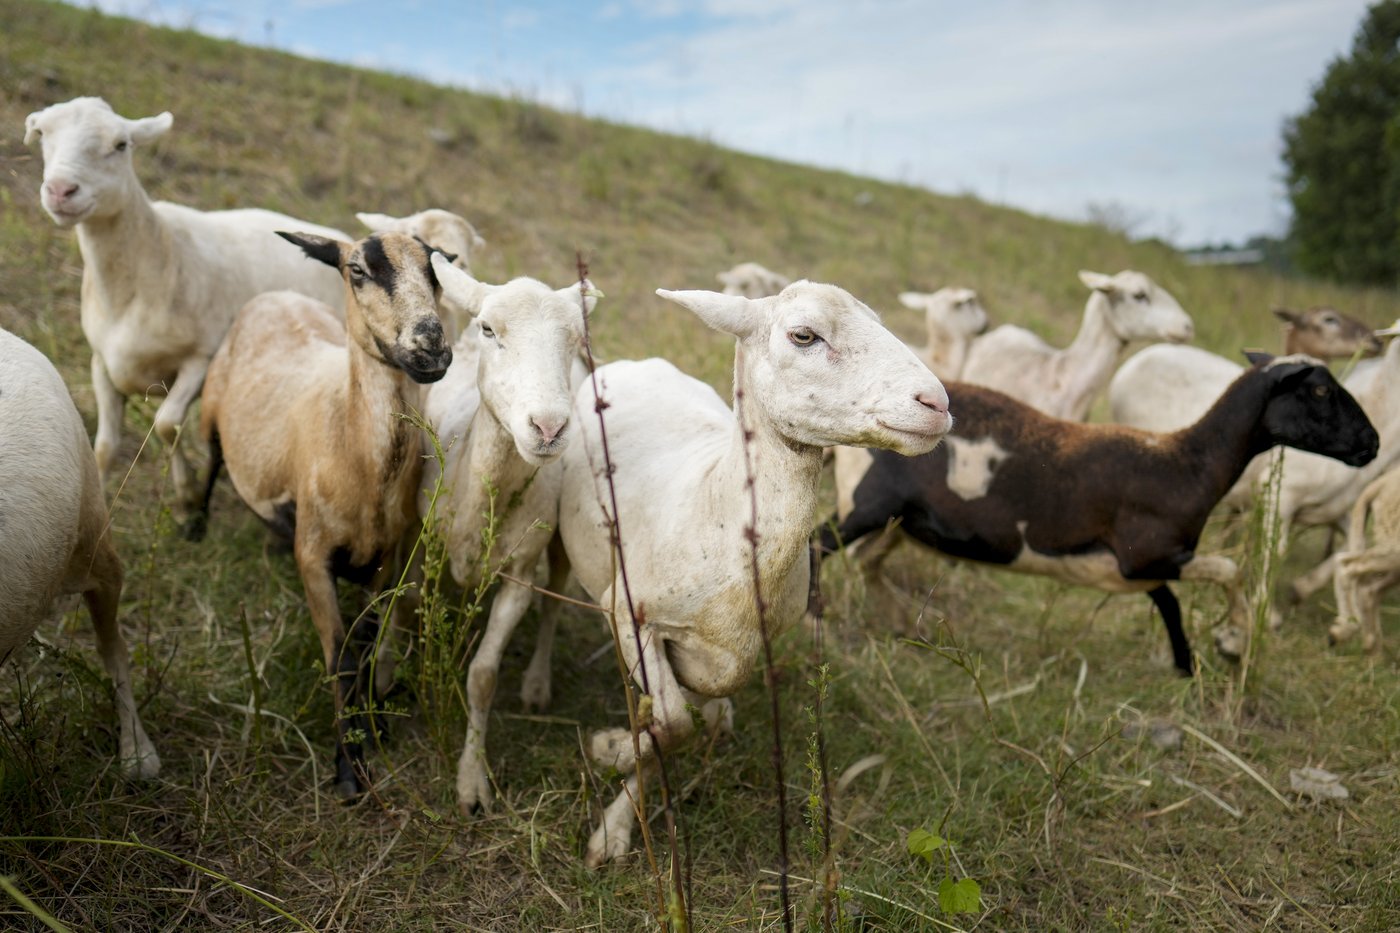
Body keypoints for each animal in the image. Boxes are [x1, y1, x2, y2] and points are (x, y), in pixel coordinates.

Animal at [23, 96, 348, 507]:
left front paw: (187, 493)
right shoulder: (101, 363)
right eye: (42, 134)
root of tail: (341, 236)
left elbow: (167, 425)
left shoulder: (200, 359)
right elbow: (106, 446)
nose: (61, 190)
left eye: (121, 145)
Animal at [193, 231, 452, 798]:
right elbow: (341, 657)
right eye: (358, 270)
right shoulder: (313, 557)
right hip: (210, 410)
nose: (432, 348)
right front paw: (349, 766)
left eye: (435, 270)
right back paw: (194, 524)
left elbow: (369, 646)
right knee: (211, 460)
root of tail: (278, 295)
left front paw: (374, 726)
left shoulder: (385, 562)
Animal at [409, 256, 598, 816]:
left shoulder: (519, 574)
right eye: (489, 329)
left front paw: (472, 781)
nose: (548, 428)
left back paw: (537, 684)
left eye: (577, 338)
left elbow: (483, 676)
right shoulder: (425, 549)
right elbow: (417, 618)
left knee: (555, 599)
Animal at [556, 281, 952, 866]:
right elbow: (672, 724)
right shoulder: (629, 613)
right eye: (804, 335)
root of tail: (638, 362)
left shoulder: (734, 654)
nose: (938, 404)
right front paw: (615, 769)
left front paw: (622, 781)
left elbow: (691, 720)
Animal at [821, 353, 1379, 677]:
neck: (1189, 463)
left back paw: (900, 624)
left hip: (902, 521)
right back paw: (814, 622)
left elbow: (1171, 605)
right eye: (1321, 390)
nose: (1371, 444)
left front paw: (1188, 665)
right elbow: (1229, 571)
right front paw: (1235, 642)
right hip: (868, 504)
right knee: (821, 545)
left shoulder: (1139, 569)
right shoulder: (1146, 553)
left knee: (867, 561)